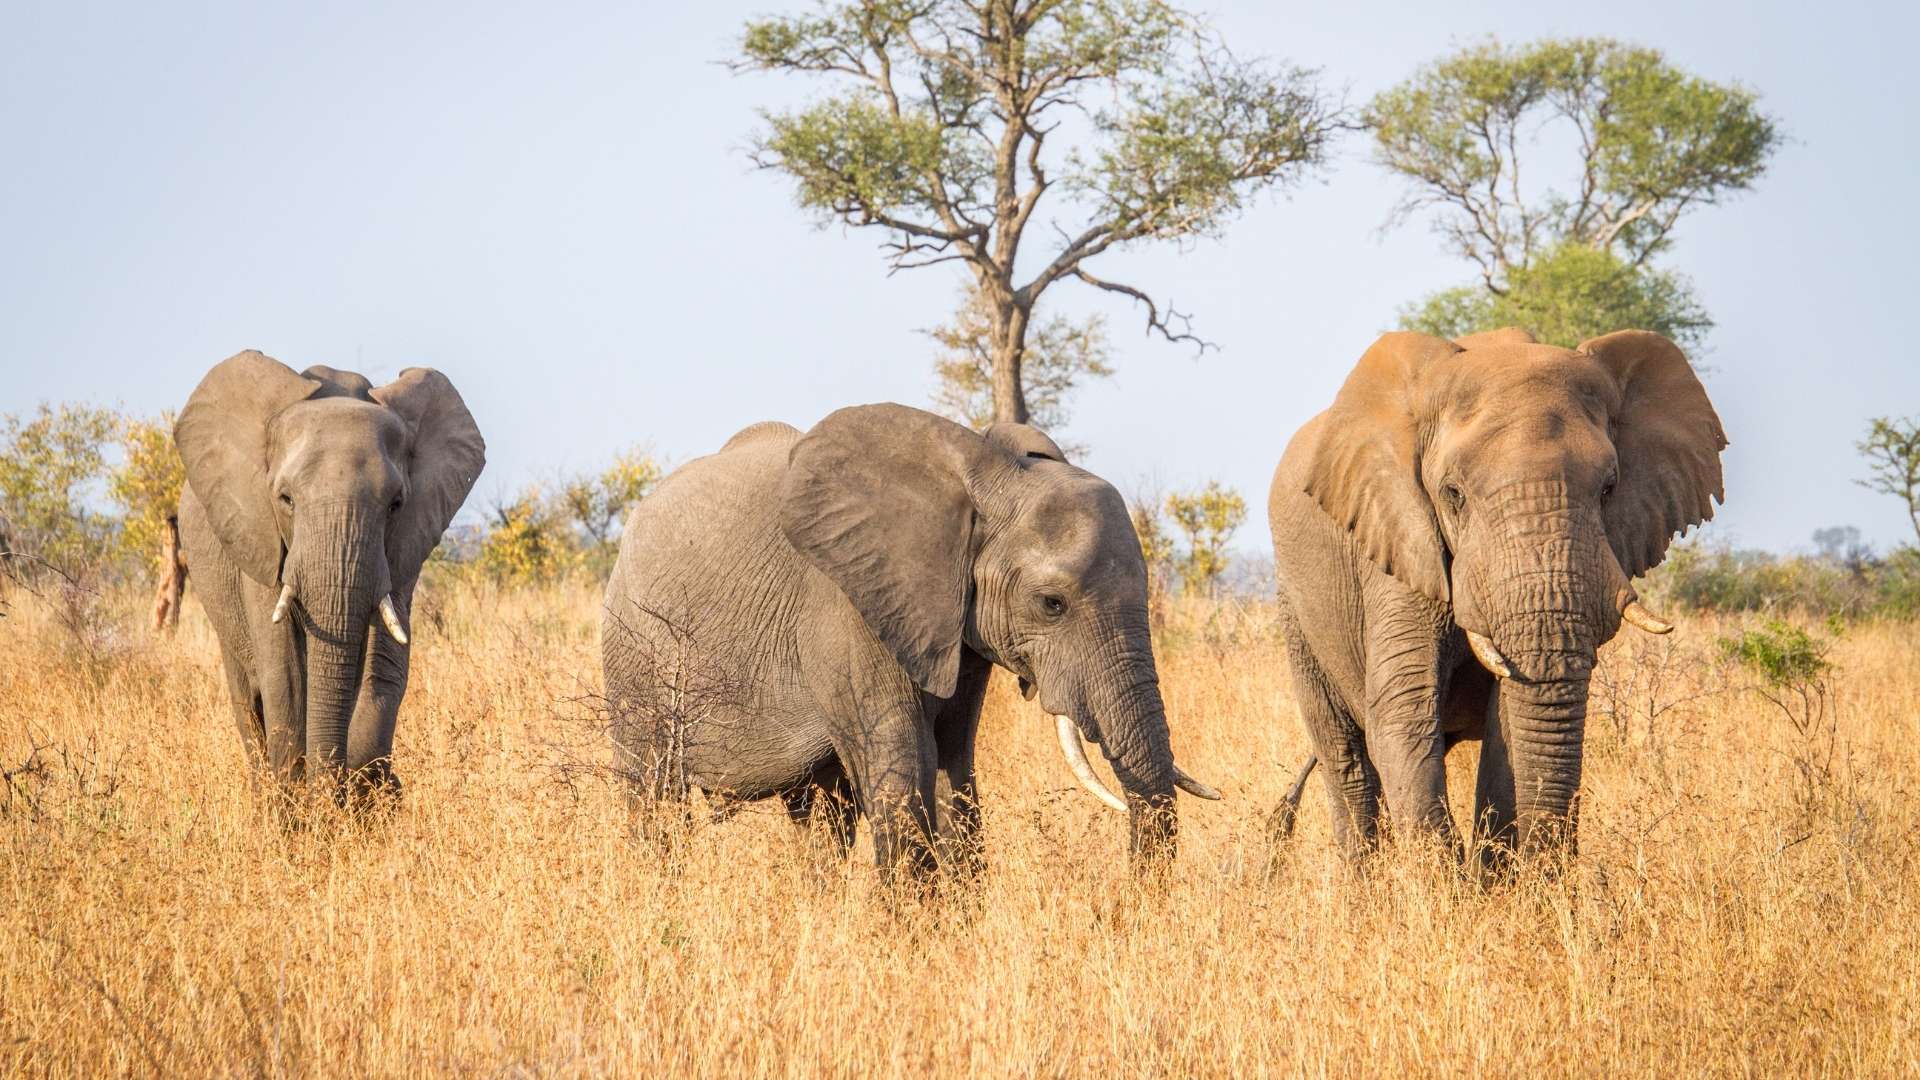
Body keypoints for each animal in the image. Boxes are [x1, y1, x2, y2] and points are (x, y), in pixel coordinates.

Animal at [176, 351, 483, 799]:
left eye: (396, 504)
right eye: (285, 499)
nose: (327, 791)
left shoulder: (403, 546)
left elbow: (382, 667)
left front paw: (365, 795)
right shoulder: (258, 533)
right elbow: (284, 673)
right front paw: (299, 808)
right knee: (247, 699)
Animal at [599, 399, 1213, 880]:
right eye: (1051, 603)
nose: (1129, 904)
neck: (984, 476)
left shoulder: (958, 627)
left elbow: (952, 766)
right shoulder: (848, 608)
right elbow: (901, 771)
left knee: (819, 812)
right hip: (634, 646)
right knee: (654, 791)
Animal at [1267, 326, 1735, 864]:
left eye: (1609, 489)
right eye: (1453, 494)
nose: (1551, 868)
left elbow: (1506, 727)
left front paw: (1498, 877)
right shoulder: (1397, 544)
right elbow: (1403, 713)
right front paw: (1448, 880)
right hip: (1296, 606)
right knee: (1346, 759)